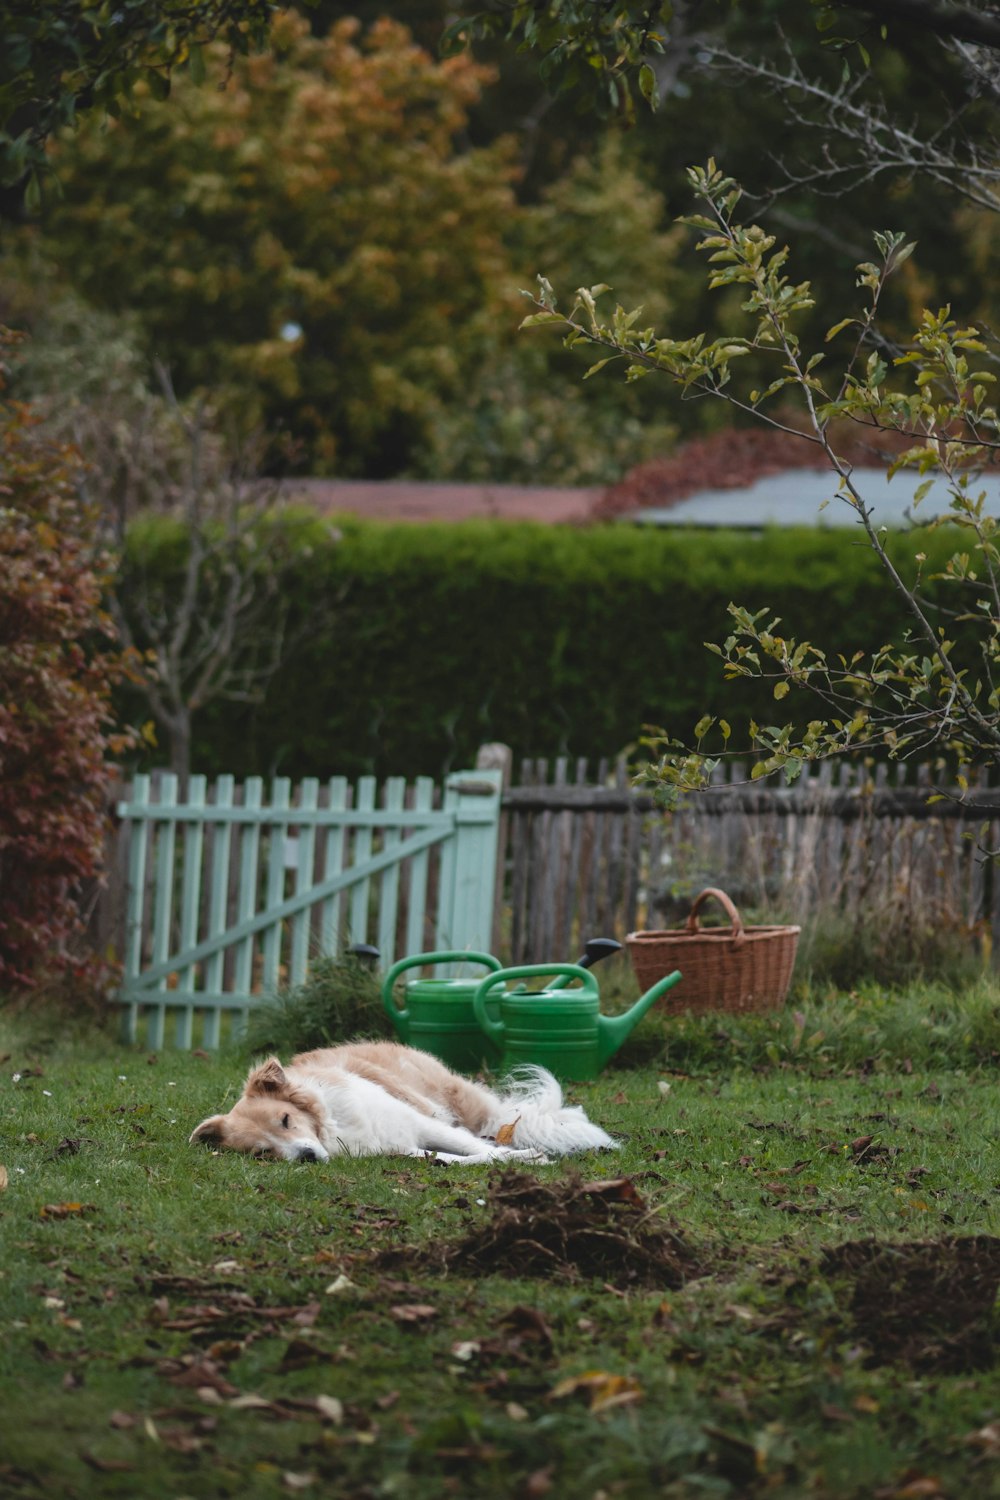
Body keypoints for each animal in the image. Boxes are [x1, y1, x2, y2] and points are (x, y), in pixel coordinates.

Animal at [183, 1044, 614, 1158]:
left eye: (287, 1121)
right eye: (262, 1152)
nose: (305, 1157)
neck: (333, 1126)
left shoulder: (423, 1123)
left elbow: (477, 1149)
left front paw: (523, 1158)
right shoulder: (403, 1147)